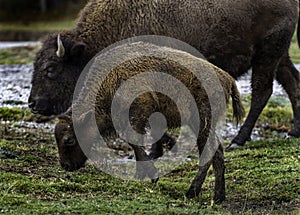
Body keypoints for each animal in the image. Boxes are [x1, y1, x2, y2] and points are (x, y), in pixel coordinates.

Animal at [28, 0, 300, 148]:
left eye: (51, 69)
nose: (32, 103)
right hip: (279, 56)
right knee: (292, 83)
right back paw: (294, 132)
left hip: (267, 54)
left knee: (262, 92)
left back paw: (238, 140)